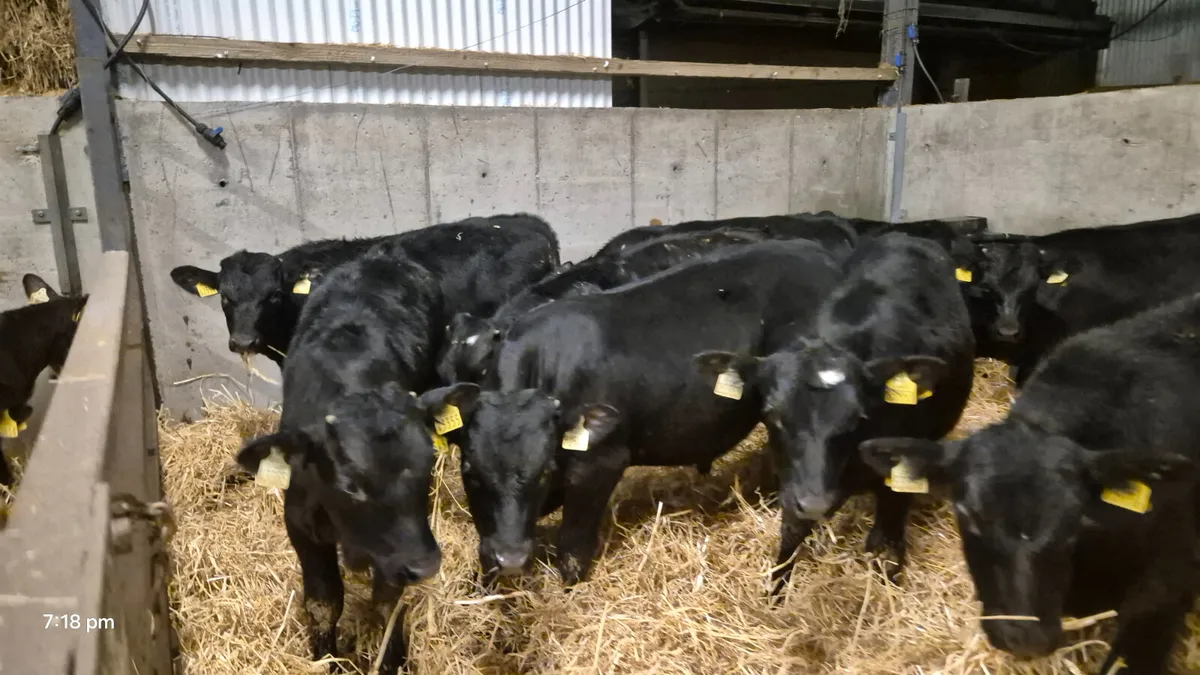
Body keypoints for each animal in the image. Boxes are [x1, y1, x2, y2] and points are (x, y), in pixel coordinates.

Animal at [233, 248, 478, 675]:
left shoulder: (396, 551)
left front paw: (391, 659)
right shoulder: (300, 524)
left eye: (427, 464)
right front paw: (325, 658)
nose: (425, 565)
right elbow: (323, 603)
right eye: (350, 485)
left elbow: (388, 604)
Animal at [697, 232, 975, 595]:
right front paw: (774, 596)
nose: (815, 502)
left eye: (856, 419)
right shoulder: (794, 481)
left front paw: (889, 579)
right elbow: (789, 539)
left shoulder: (897, 479)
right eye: (773, 415)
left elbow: (888, 540)